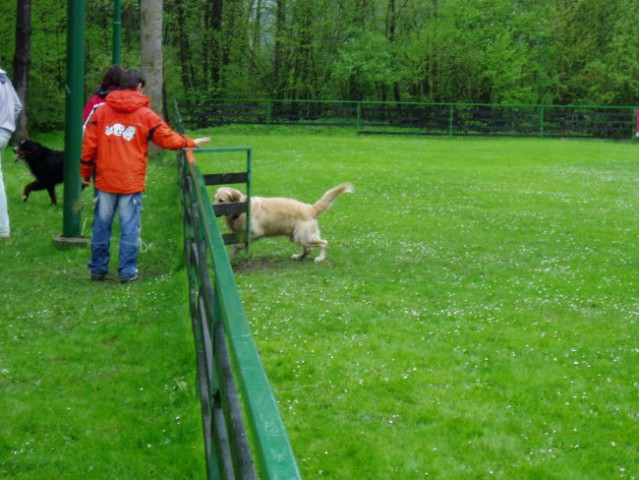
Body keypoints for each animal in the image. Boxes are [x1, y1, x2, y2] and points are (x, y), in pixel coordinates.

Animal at [215, 182, 356, 262]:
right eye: (214, 198)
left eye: (221, 200)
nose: (213, 209)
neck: (240, 210)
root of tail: (311, 208)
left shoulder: (255, 233)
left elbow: (238, 244)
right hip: (296, 237)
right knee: (308, 249)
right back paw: (298, 257)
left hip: (304, 236)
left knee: (324, 243)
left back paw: (320, 258)